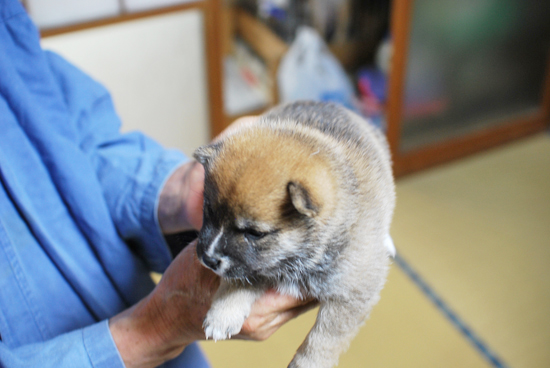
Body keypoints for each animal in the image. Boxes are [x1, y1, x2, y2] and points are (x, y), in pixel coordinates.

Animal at [194, 101, 396, 368]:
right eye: (208, 210)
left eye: (254, 233)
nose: (207, 259)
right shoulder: (257, 265)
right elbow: (240, 280)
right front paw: (223, 313)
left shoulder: (352, 295)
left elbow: (325, 337)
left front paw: (308, 363)